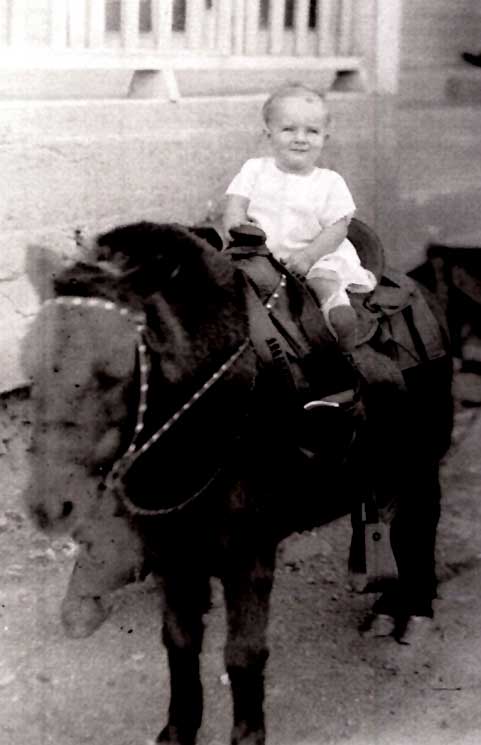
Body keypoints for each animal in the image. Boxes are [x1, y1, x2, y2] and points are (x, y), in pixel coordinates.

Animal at [22, 219, 453, 745]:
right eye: (31, 365)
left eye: (113, 371)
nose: (49, 504)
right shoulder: (172, 550)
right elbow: (179, 641)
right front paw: (179, 727)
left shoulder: (248, 552)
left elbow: (243, 652)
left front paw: (247, 733)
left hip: (421, 461)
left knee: (420, 524)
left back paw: (413, 611)